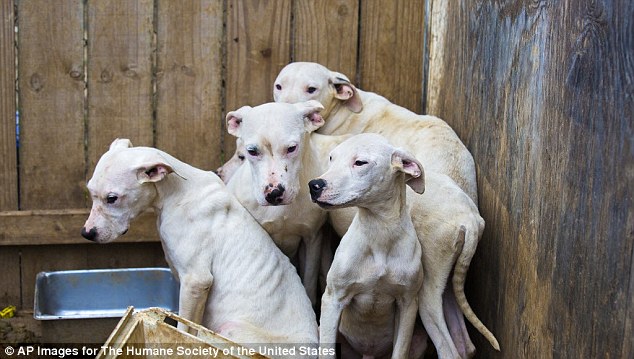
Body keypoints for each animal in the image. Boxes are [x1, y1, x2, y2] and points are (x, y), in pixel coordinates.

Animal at [79, 140, 318, 352]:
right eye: (90, 191)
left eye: (112, 198)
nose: (87, 233)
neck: (176, 193)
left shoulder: (196, 281)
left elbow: (184, 329)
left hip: (231, 329)